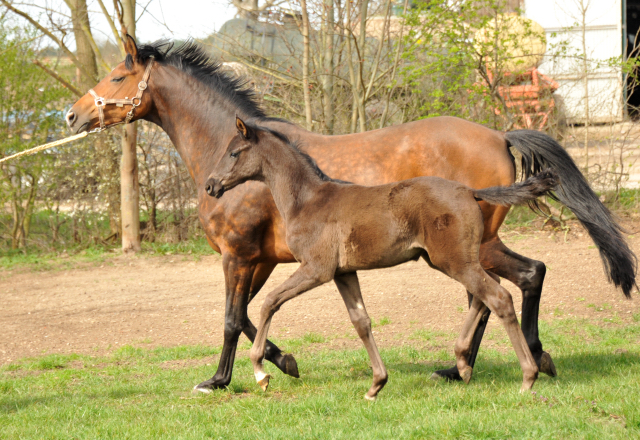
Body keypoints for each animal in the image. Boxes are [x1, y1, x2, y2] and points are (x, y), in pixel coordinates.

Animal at [206, 118, 560, 400]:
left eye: (234, 153)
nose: (211, 185)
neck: (306, 200)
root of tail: (469, 191)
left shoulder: (316, 269)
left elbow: (269, 302)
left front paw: (261, 372)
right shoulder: (343, 273)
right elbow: (361, 321)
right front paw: (376, 384)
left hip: (454, 260)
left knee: (497, 296)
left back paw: (527, 377)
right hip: (452, 260)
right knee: (487, 295)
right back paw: (462, 363)